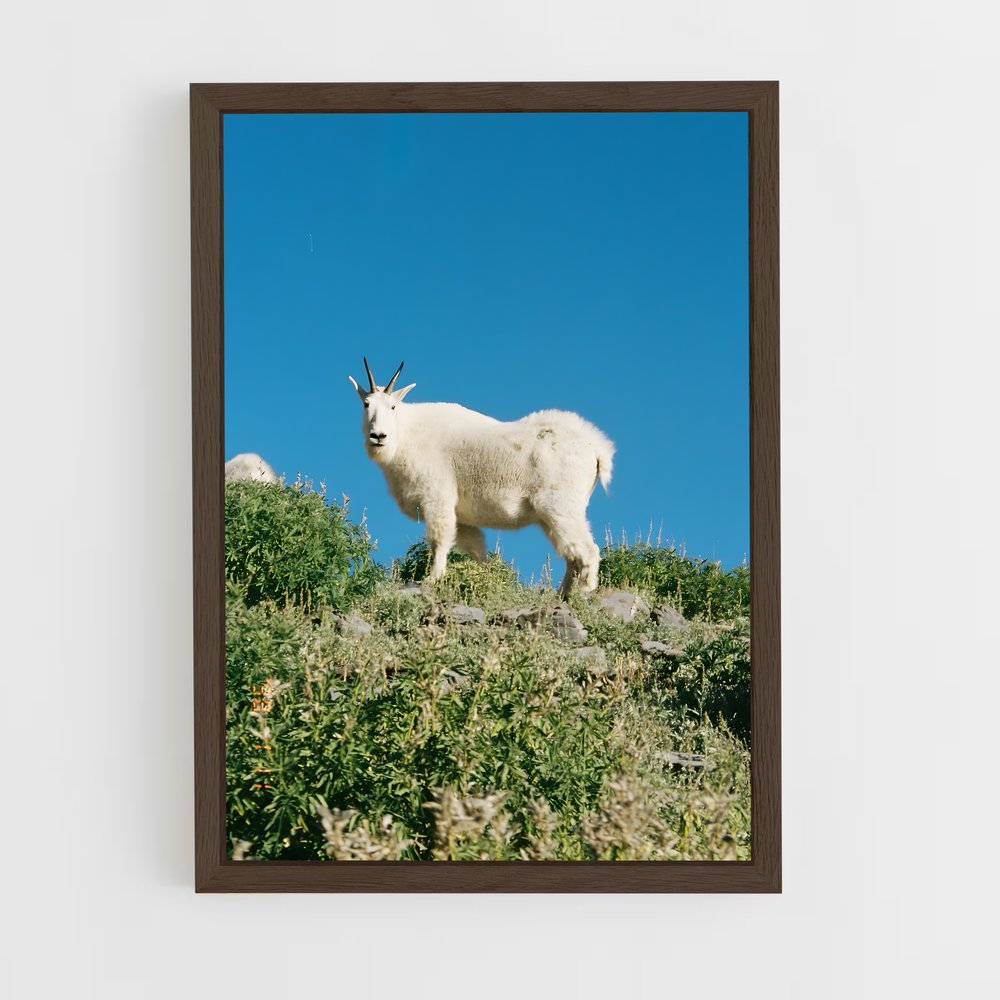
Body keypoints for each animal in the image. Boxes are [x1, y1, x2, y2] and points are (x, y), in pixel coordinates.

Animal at [348, 358, 614, 596]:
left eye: (393, 406)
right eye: (366, 404)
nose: (378, 436)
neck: (405, 434)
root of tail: (598, 450)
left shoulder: (437, 496)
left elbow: (440, 539)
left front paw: (432, 579)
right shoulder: (462, 516)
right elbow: (476, 548)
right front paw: (490, 579)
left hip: (560, 505)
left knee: (587, 550)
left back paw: (584, 593)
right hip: (550, 515)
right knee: (571, 555)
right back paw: (561, 595)